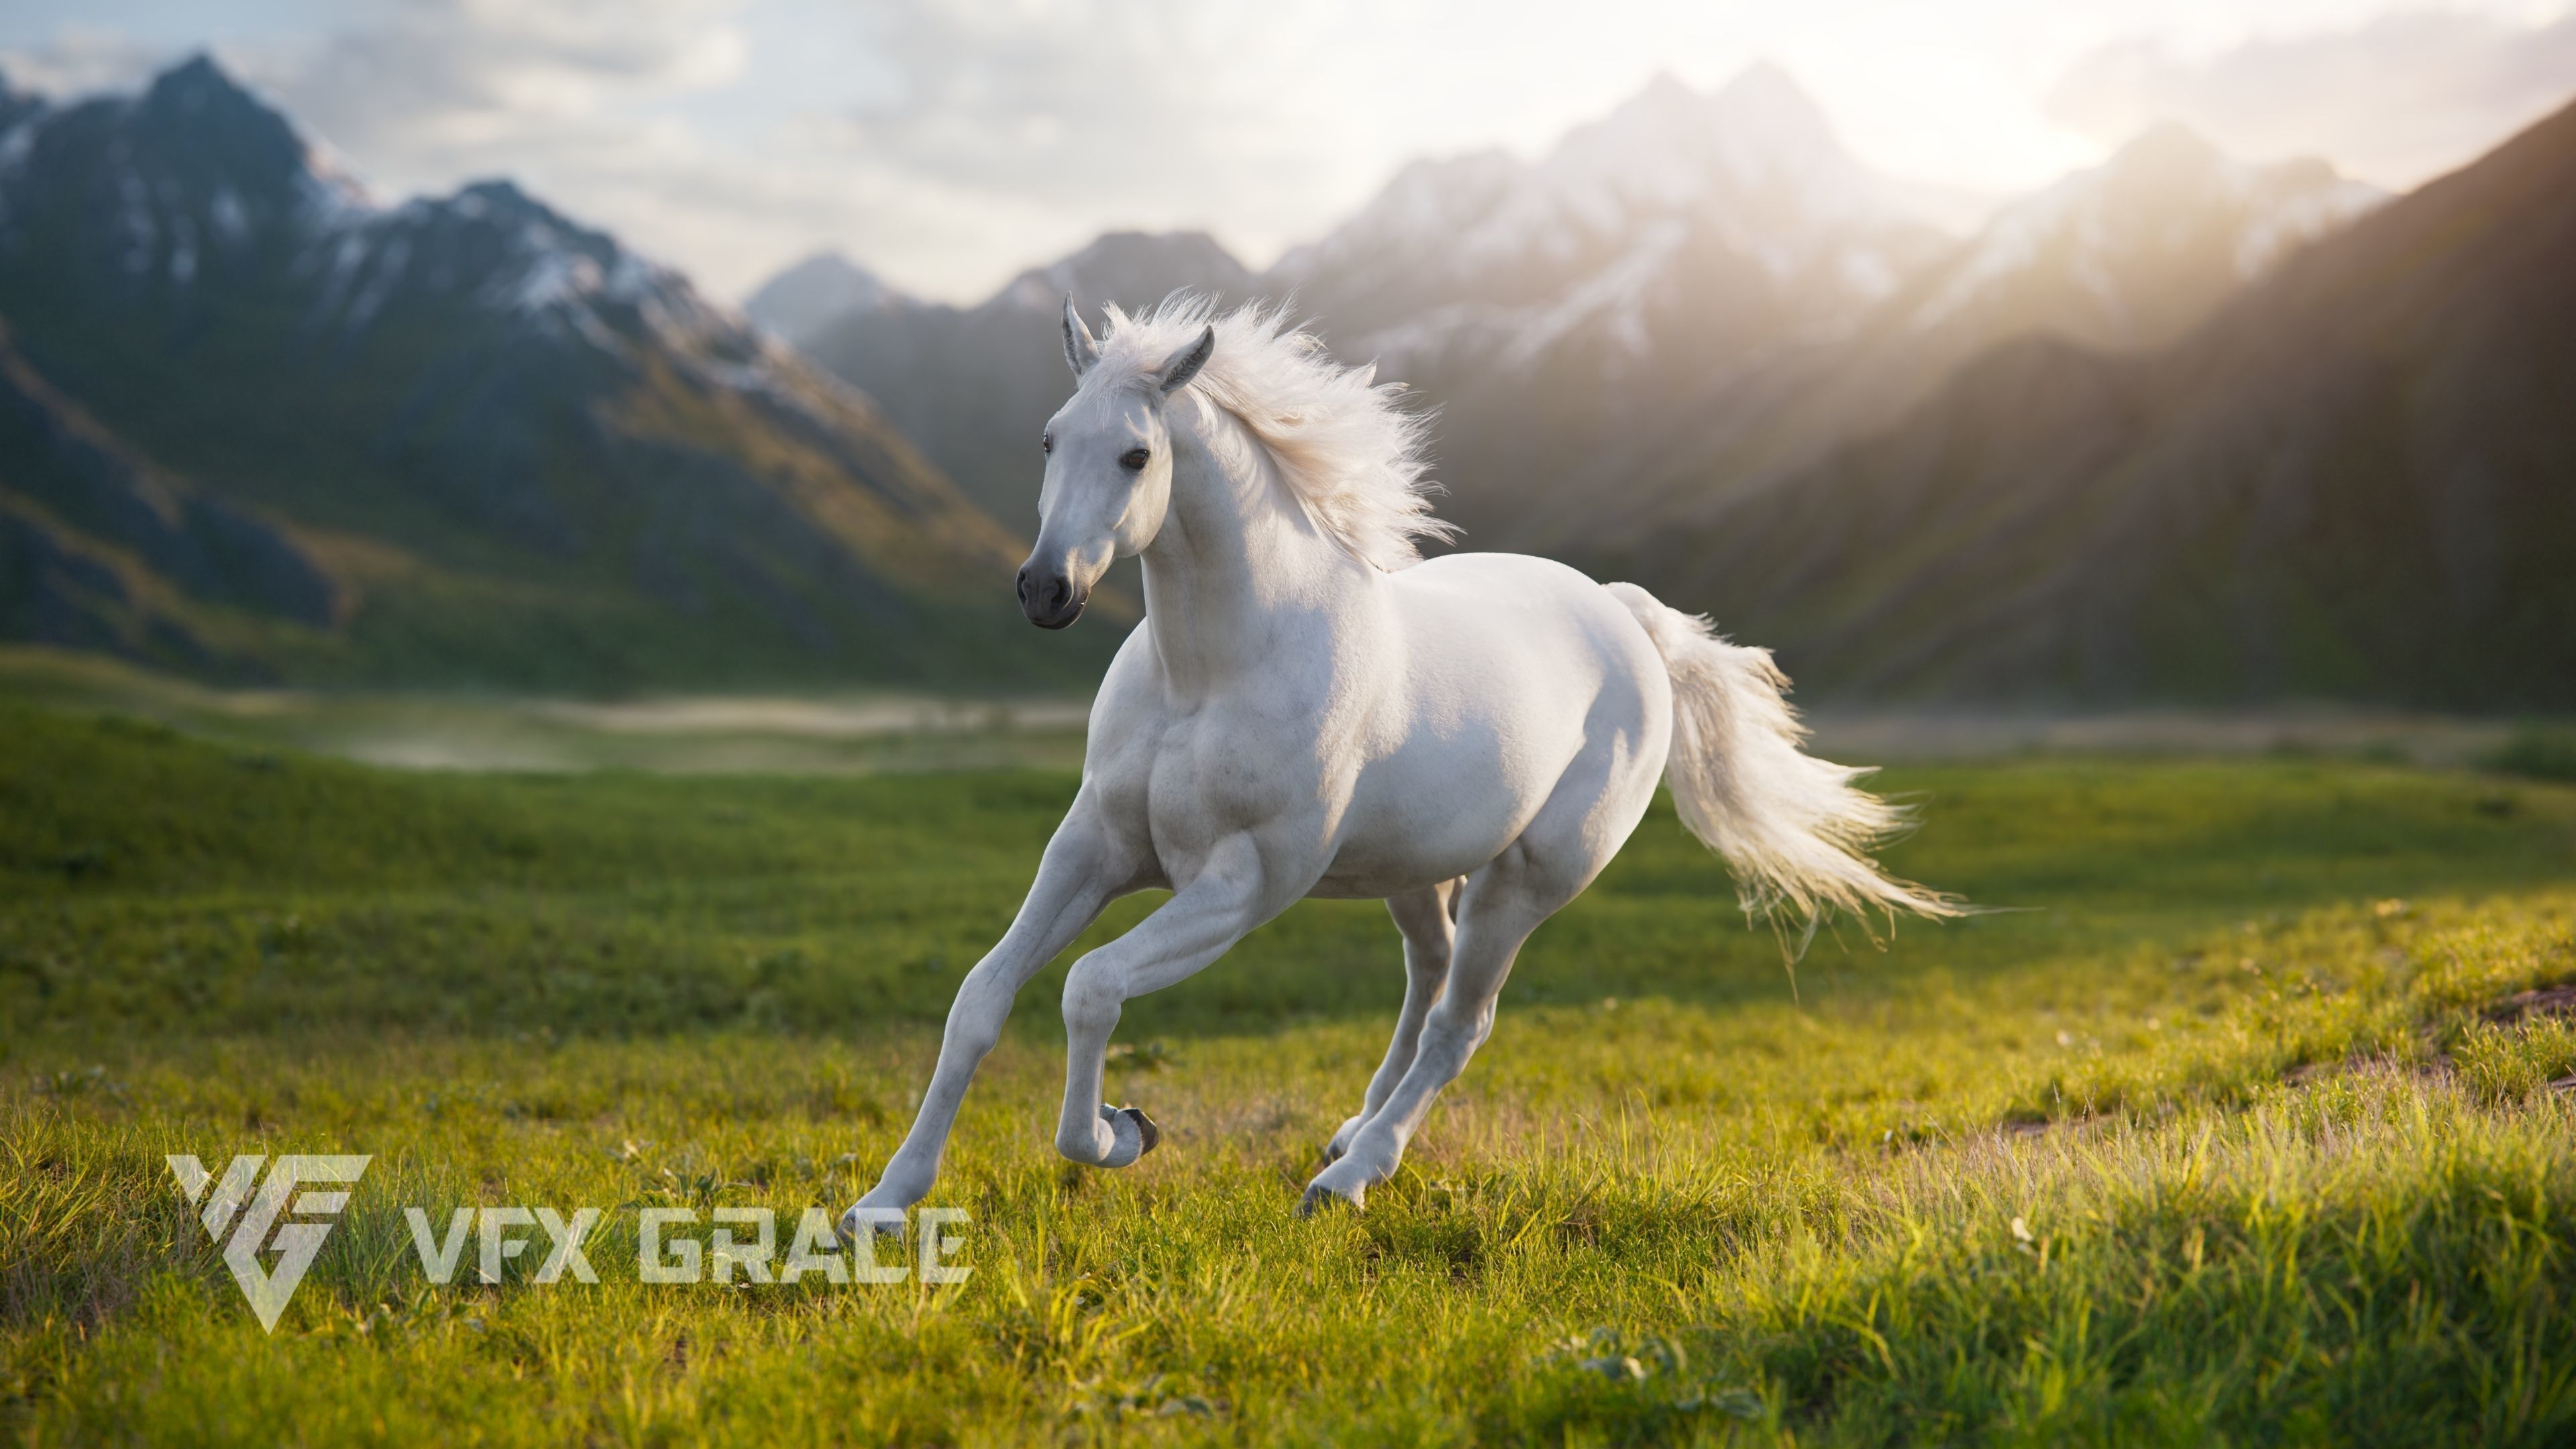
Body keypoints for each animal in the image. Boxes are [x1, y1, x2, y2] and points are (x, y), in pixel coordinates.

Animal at [844, 295, 1955, 1229]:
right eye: (1049, 438)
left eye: (1134, 454)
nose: (1046, 590)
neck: (1211, 675)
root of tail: (1627, 617)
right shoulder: (1093, 849)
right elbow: (982, 998)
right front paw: (885, 1204)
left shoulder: (1242, 886)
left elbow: (1090, 986)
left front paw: (1121, 1133)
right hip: (1414, 872)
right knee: (1427, 984)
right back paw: (1347, 1134)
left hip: (1527, 882)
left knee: (1462, 1023)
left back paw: (1349, 1177)